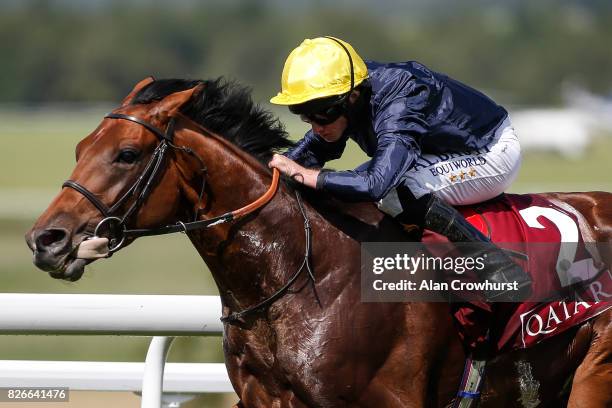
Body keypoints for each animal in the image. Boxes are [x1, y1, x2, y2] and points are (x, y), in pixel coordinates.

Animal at [27, 77, 612, 408]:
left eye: (126, 154)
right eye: (80, 146)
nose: (45, 239)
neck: (303, 275)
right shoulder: (264, 400)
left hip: (594, 376)